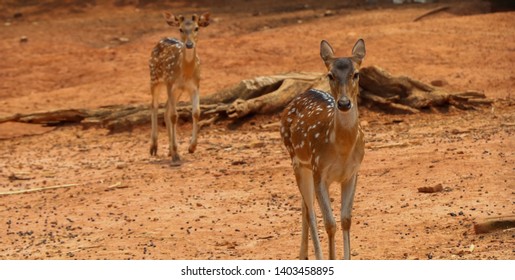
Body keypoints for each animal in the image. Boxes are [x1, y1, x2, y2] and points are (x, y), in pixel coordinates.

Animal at [150, 11, 211, 164]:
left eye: (197, 28)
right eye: (180, 29)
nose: (189, 44)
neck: (186, 72)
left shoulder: (195, 85)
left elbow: (196, 112)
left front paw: (191, 147)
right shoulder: (170, 84)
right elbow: (174, 116)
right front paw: (176, 154)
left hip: (178, 90)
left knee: (165, 110)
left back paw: (169, 149)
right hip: (154, 78)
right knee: (154, 106)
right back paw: (154, 147)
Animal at [282, 38, 366, 260]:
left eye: (356, 73)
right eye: (330, 74)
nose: (344, 103)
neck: (342, 148)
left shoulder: (352, 173)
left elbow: (346, 219)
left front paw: (347, 258)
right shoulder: (320, 172)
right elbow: (330, 223)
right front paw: (331, 258)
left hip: (307, 168)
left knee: (304, 206)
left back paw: (303, 254)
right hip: (297, 161)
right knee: (310, 211)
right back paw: (314, 256)